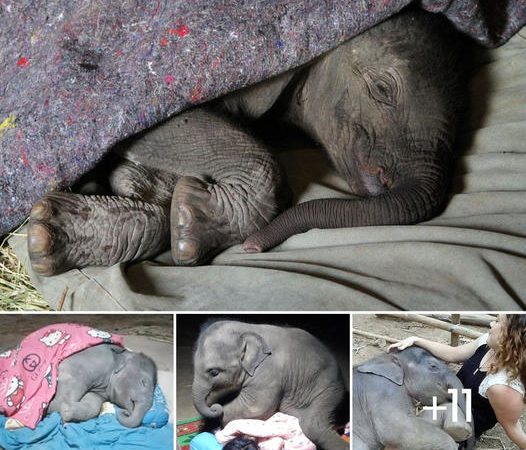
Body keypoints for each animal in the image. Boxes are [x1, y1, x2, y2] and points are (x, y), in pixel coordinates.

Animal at [192, 320, 348, 450]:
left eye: (214, 372)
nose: (213, 407)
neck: (248, 329)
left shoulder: (268, 372)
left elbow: (254, 407)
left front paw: (218, 423)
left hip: (330, 391)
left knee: (312, 425)